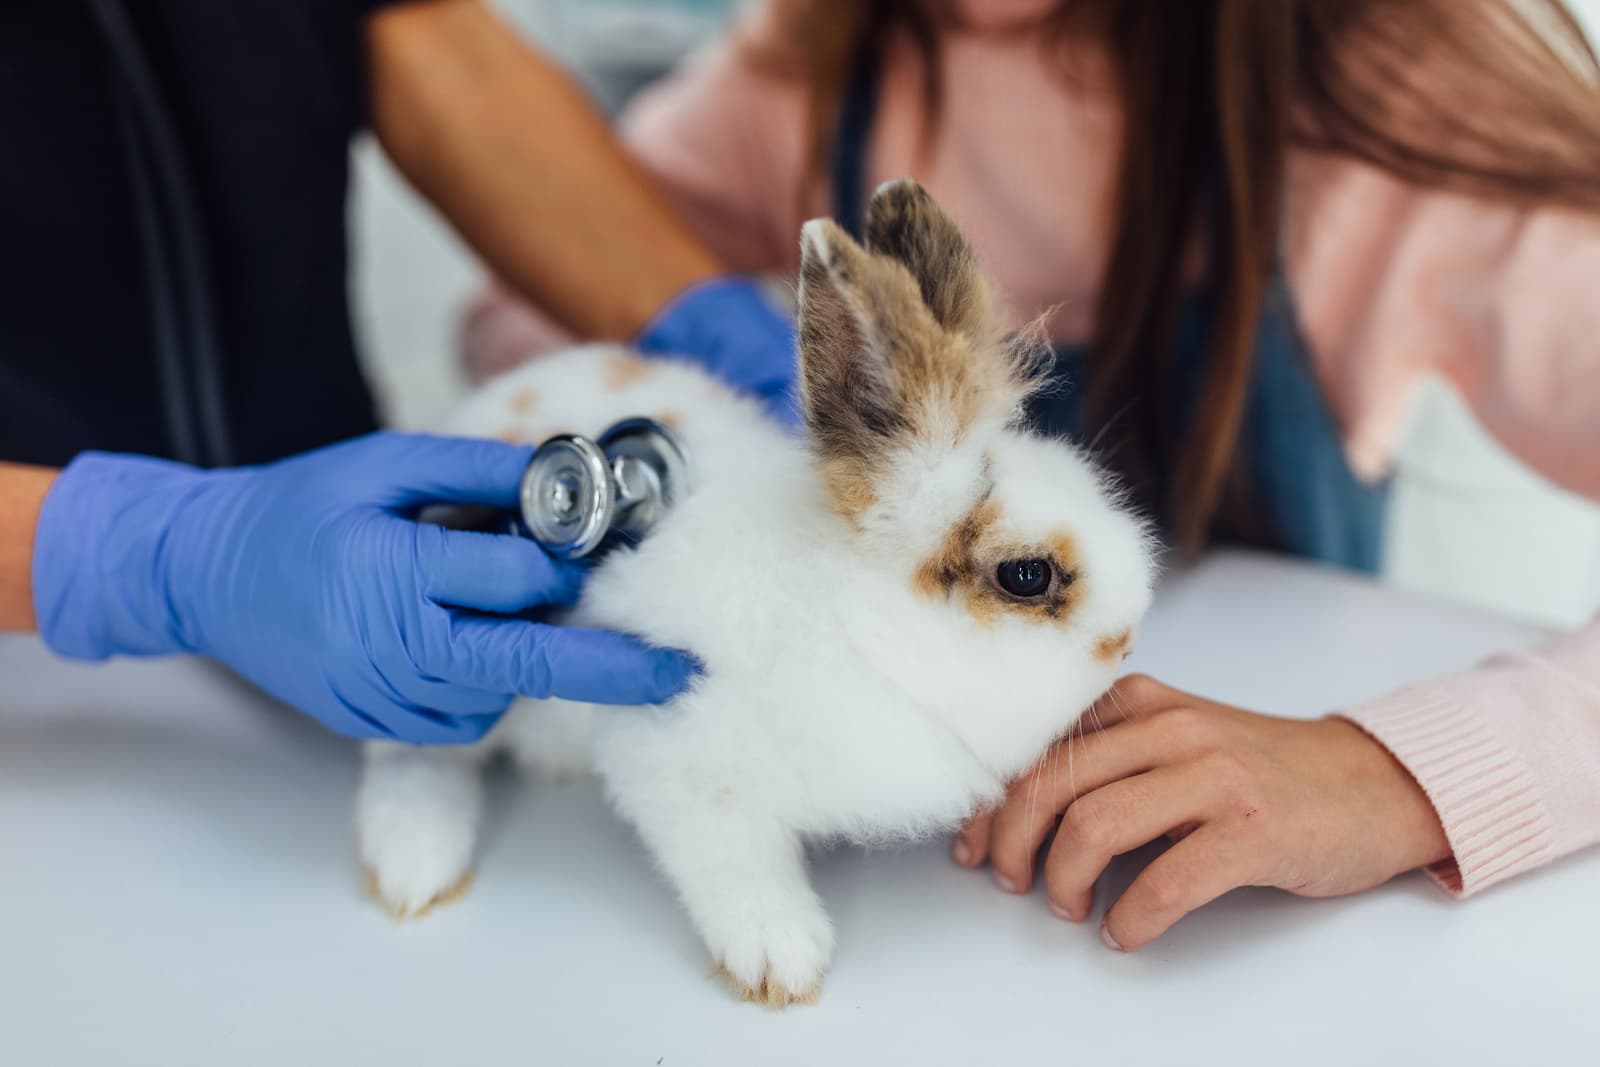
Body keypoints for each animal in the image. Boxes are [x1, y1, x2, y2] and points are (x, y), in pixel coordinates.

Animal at [355, 179, 1156, 1007]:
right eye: (1027, 575)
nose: (1129, 633)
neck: (854, 626)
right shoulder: (676, 759)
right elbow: (732, 862)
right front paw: (783, 960)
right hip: (446, 671)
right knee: (411, 748)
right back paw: (416, 866)